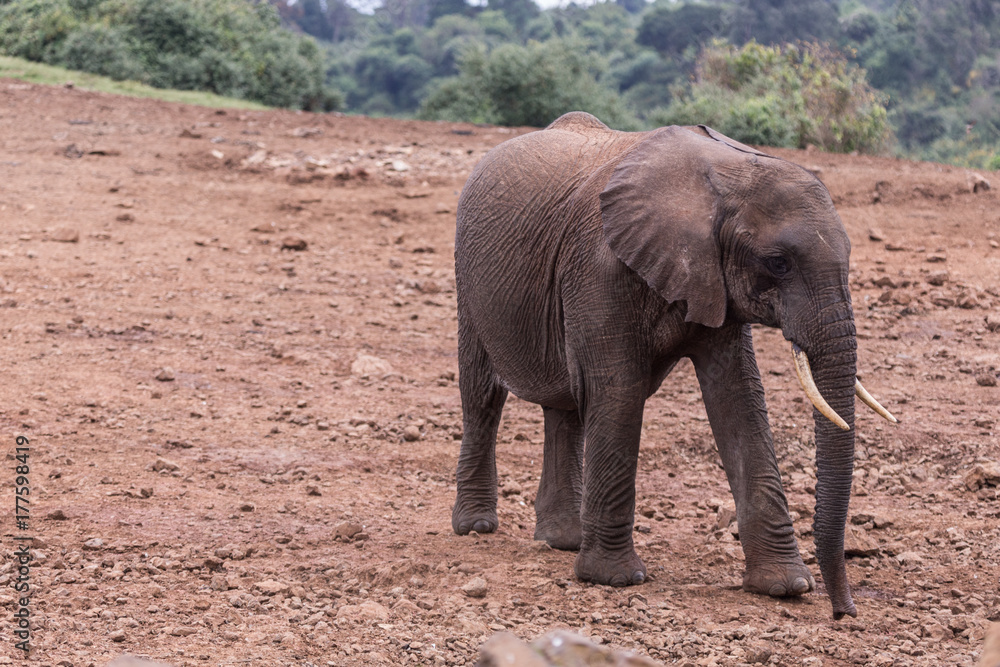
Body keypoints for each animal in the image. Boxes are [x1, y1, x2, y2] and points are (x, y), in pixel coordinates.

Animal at [450, 111, 896, 620]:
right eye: (778, 263)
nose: (845, 612)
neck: (725, 178)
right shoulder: (600, 267)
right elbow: (619, 392)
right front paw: (614, 580)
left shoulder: (713, 281)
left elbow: (739, 400)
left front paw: (785, 587)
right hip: (470, 279)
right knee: (483, 395)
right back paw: (477, 527)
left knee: (567, 404)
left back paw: (563, 541)